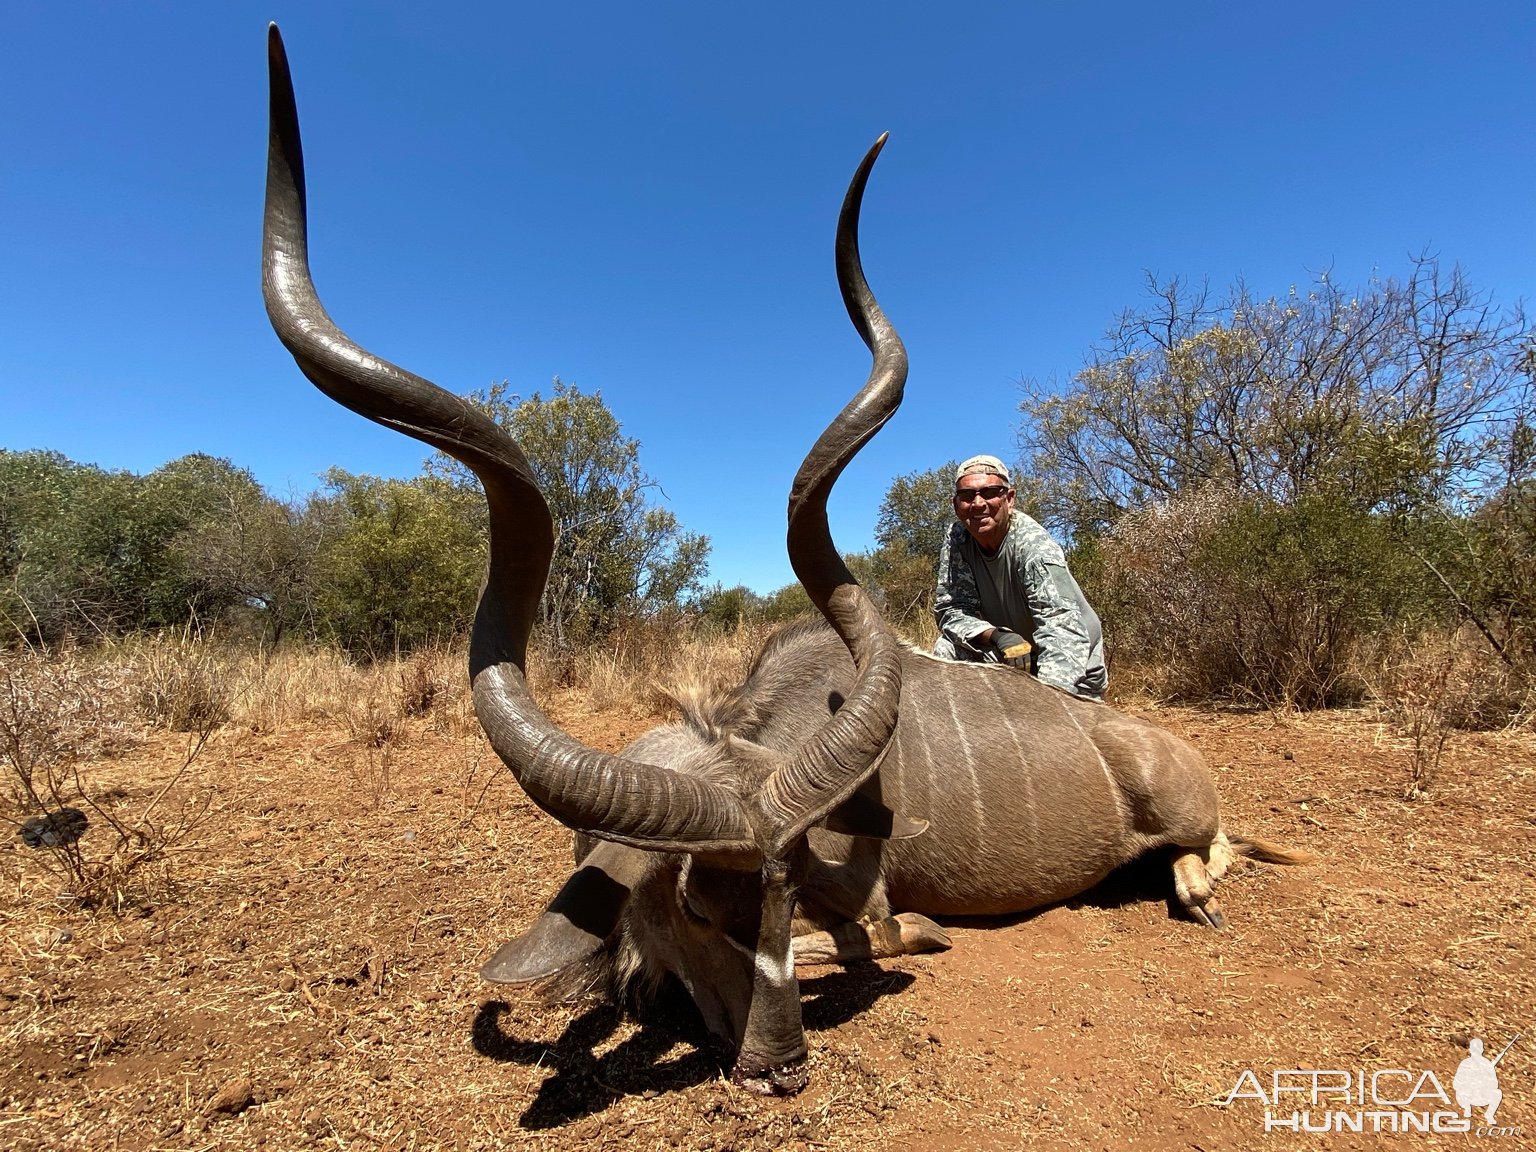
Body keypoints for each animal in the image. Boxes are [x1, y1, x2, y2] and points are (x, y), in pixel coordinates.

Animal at [267, 22, 1308, 1093]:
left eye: (780, 884)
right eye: (692, 900)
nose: (781, 1063)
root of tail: (1159, 743)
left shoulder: (862, 899)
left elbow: (881, 933)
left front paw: (907, 937)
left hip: (1187, 816)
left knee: (1212, 848)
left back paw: (1193, 890)